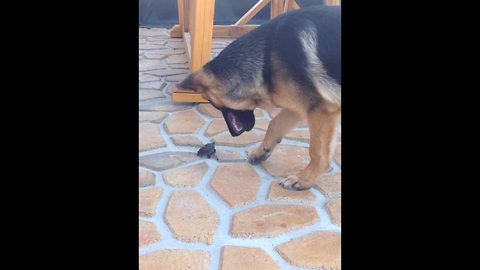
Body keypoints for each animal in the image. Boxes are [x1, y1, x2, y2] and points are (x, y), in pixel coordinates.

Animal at [178, 6, 340, 192]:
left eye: (213, 103)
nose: (233, 134)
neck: (267, 57)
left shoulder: (322, 110)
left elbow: (317, 152)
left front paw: (305, 179)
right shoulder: (301, 107)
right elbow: (274, 124)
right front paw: (261, 152)